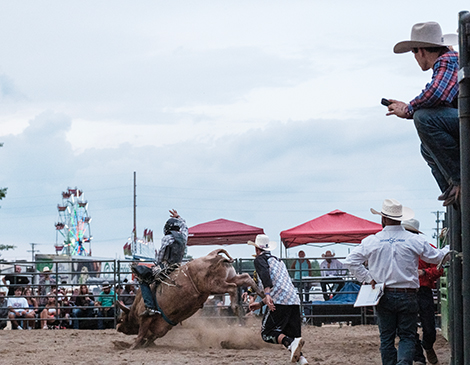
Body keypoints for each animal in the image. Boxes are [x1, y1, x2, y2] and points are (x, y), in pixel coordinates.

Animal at [115, 247, 262, 346]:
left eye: (121, 318)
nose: (117, 327)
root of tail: (213, 254)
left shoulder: (145, 318)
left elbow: (141, 333)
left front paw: (133, 346)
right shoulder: (163, 327)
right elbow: (151, 336)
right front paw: (145, 344)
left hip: (215, 285)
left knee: (232, 287)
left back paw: (236, 306)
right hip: (230, 277)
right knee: (245, 278)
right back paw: (258, 293)